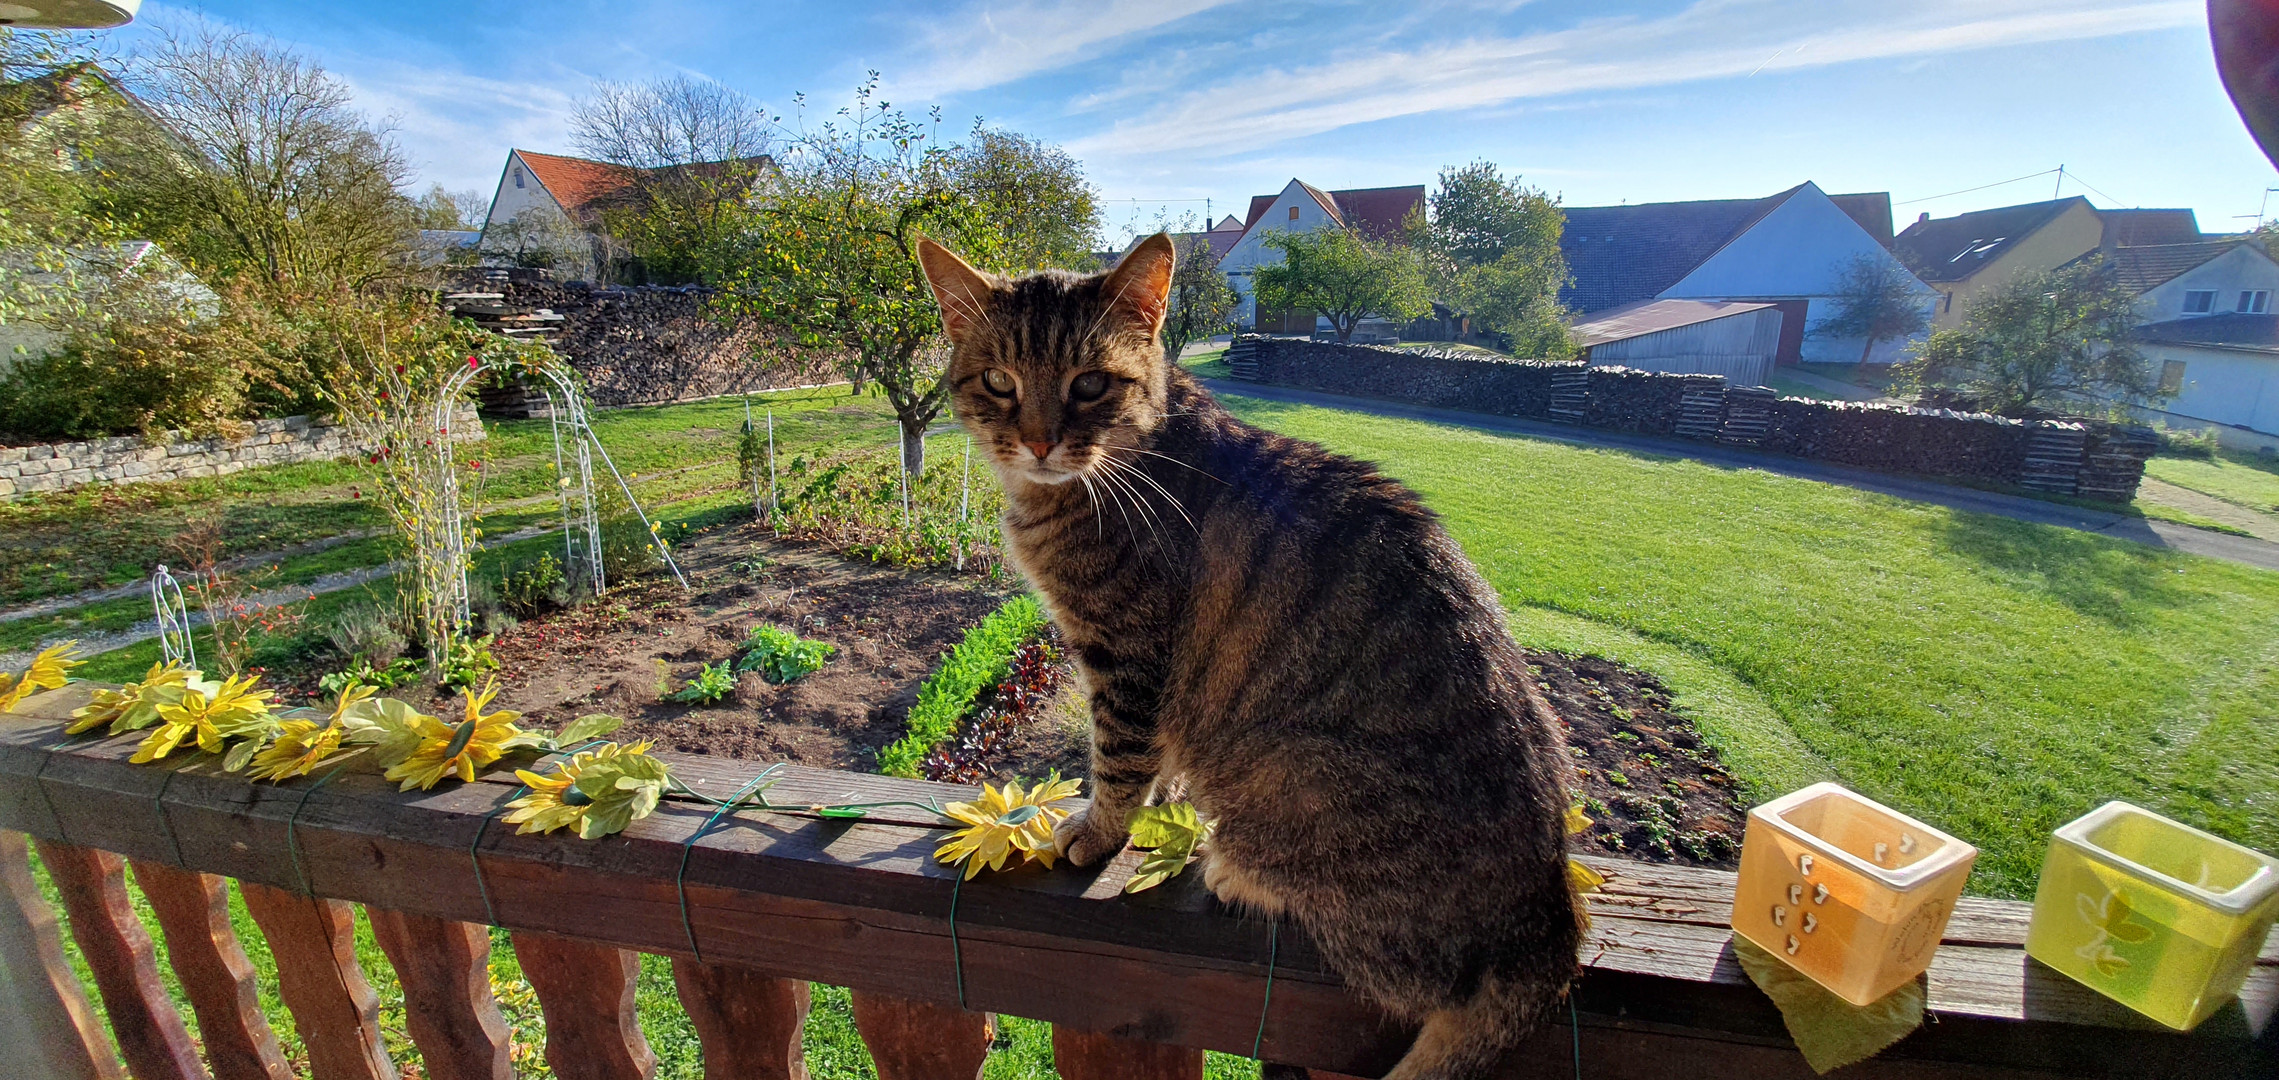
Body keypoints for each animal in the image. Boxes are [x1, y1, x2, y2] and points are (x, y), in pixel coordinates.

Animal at [916, 232, 1577, 1075]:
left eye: (1089, 383)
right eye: (999, 382)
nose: (1037, 441)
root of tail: (1547, 926)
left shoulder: (1127, 651)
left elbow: (1119, 758)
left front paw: (1098, 831)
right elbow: (1158, 761)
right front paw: (1159, 807)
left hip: (1292, 775)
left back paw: (1237, 873)